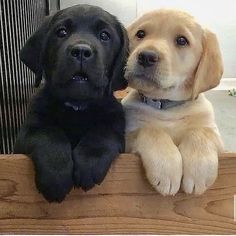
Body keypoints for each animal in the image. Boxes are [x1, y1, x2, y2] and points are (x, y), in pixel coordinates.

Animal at [13, 4, 128, 202]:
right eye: (62, 32)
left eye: (104, 35)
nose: (81, 51)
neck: (77, 107)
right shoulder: (29, 130)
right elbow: (49, 134)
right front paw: (56, 175)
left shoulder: (115, 126)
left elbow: (102, 133)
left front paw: (89, 163)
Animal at [122, 9, 224, 195]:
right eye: (140, 34)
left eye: (182, 40)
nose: (146, 56)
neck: (166, 106)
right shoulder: (127, 136)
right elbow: (150, 130)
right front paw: (166, 168)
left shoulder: (219, 140)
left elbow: (201, 132)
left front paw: (199, 170)